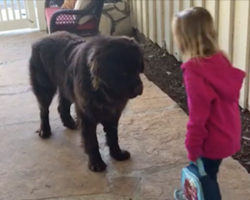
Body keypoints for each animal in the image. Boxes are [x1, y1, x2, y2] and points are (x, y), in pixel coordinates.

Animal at [28, 31, 145, 172]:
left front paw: (117, 154)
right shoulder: (87, 116)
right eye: (123, 72)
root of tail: (42, 39)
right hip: (44, 88)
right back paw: (45, 130)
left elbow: (113, 136)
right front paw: (97, 163)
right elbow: (92, 141)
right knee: (44, 110)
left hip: (66, 87)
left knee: (62, 106)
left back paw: (70, 123)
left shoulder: (113, 115)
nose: (139, 88)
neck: (102, 90)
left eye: (138, 69)